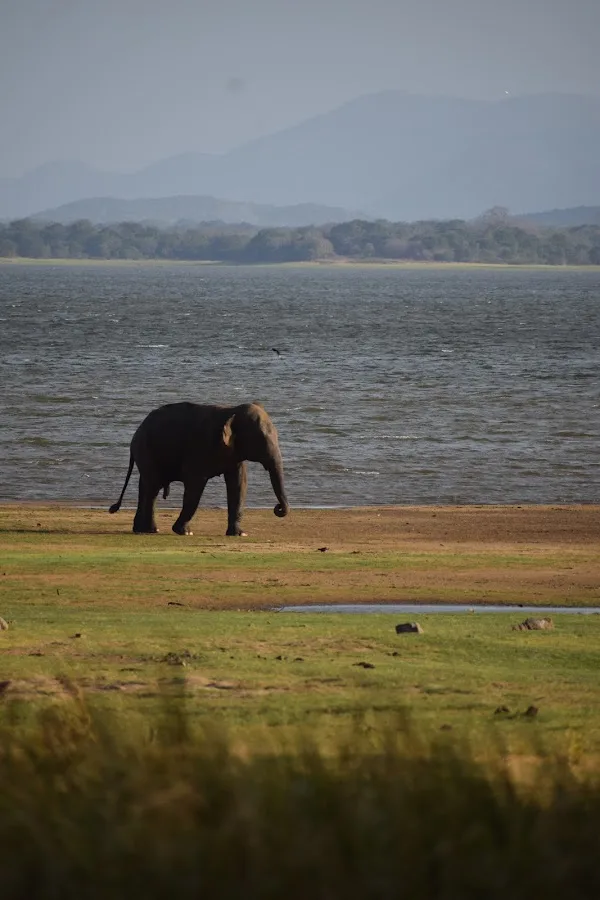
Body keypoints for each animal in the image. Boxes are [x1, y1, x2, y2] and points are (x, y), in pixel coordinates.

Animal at [109, 401, 290, 536]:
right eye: (261, 440)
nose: (277, 508)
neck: (231, 411)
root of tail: (136, 434)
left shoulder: (234, 452)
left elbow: (239, 484)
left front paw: (239, 534)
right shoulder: (199, 447)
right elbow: (195, 484)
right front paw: (184, 532)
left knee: (147, 486)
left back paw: (144, 530)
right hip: (146, 450)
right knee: (152, 487)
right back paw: (150, 530)